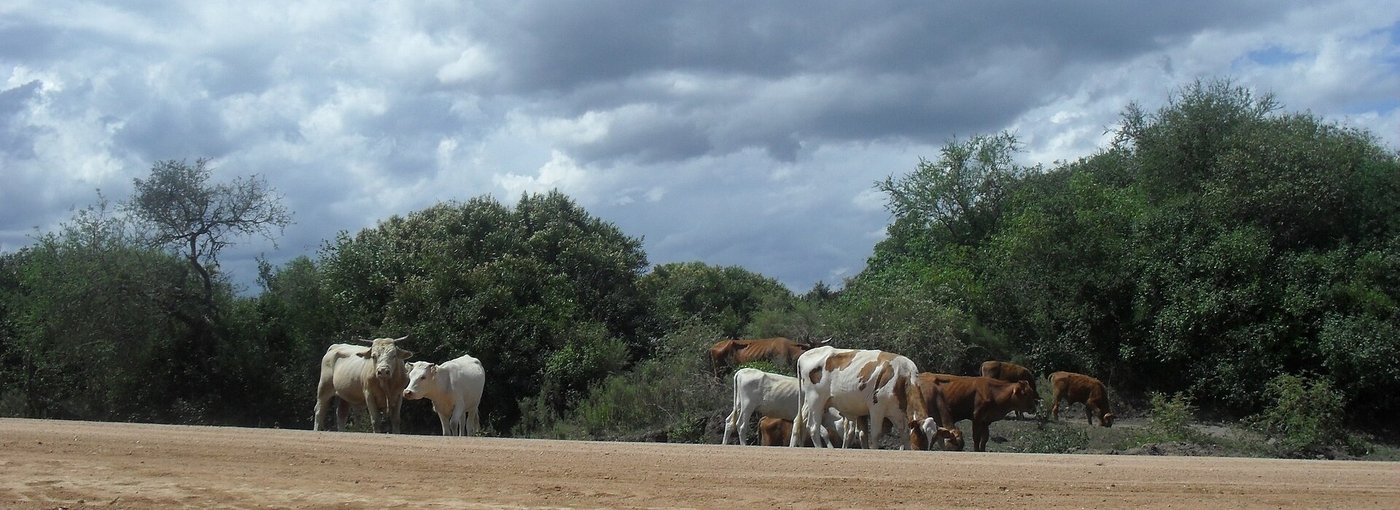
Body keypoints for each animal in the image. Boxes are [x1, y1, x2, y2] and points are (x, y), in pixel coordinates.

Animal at [790, 346, 940, 450]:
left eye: (933, 438)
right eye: (921, 434)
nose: (924, 450)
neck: (902, 376)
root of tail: (804, 355)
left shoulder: (898, 413)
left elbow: (905, 435)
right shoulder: (876, 408)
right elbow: (875, 434)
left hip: (811, 402)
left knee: (799, 421)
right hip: (816, 400)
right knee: (813, 427)